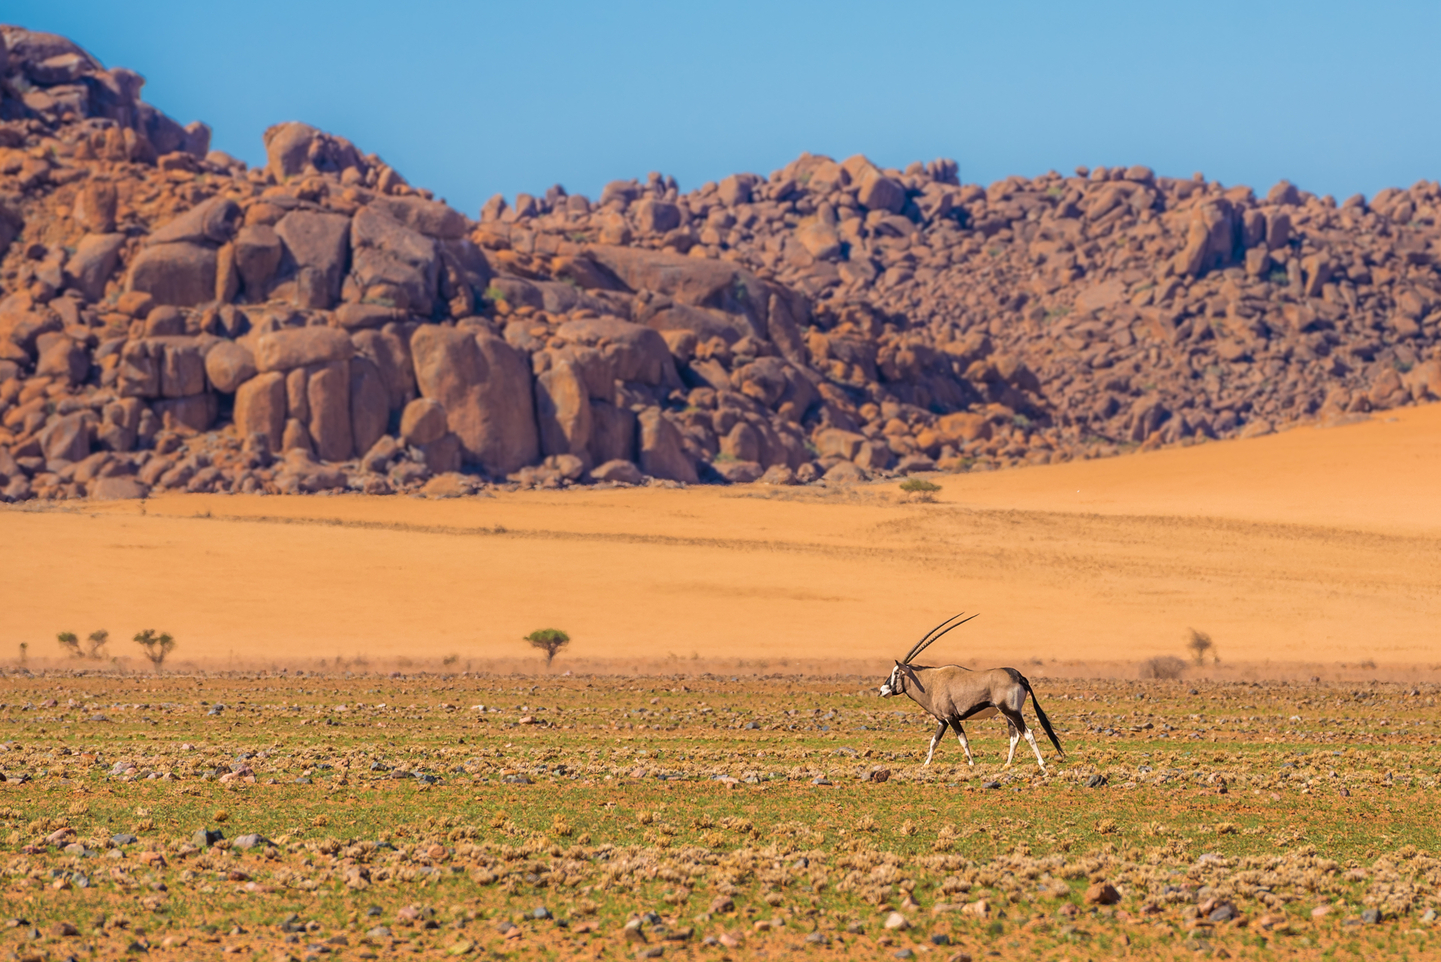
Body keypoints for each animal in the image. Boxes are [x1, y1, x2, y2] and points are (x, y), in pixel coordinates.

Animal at [870, 616, 1066, 771]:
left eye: (896, 672)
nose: (882, 690)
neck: (931, 682)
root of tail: (1019, 676)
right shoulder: (942, 720)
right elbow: (934, 742)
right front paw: (926, 764)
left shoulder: (951, 717)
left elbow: (963, 740)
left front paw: (972, 763)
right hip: (1008, 714)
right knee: (1015, 736)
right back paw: (1007, 765)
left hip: (1011, 711)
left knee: (1028, 733)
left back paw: (1042, 764)